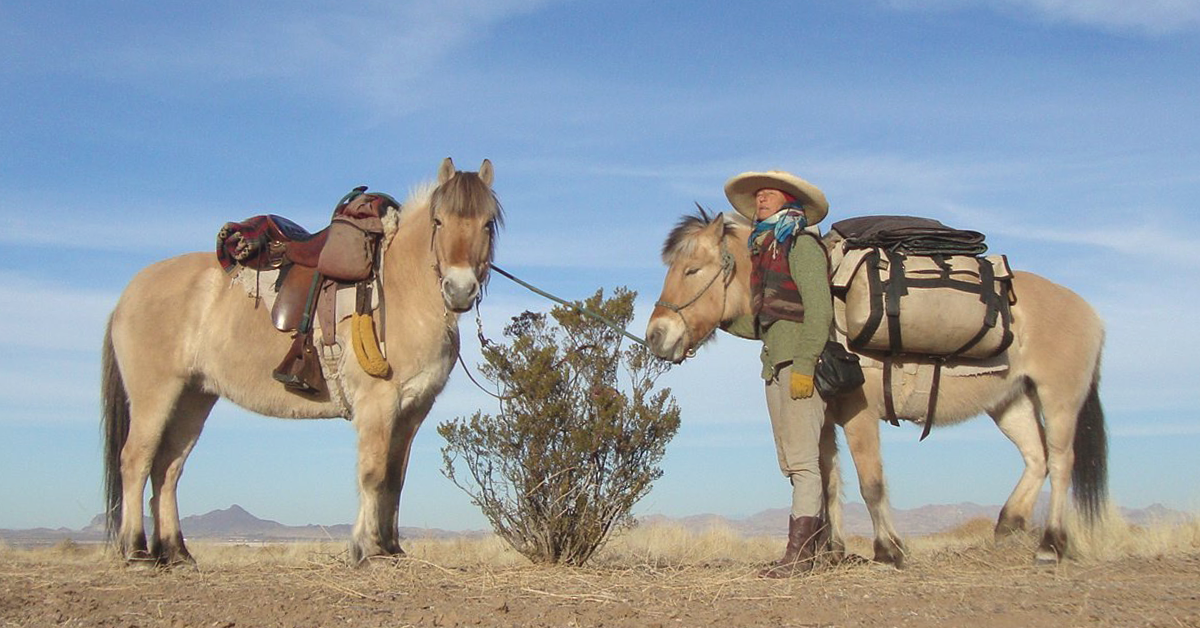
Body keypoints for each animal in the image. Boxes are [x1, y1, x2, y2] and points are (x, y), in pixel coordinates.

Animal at [101, 157, 502, 566]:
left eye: (488, 223)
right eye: (438, 221)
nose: (459, 290)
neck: (401, 288)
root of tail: (128, 295)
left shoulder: (412, 410)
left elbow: (395, 478)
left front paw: (391, 548)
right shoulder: (378, 403)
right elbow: (372, 474)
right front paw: (369, 549)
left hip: (193, 398)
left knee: (168, 468)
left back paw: (176, 552)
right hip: (155, 395)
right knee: (135, 460)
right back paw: (137, 551)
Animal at [645, 209, 1108, 566]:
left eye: (692, 270)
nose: (656, 336)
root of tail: (1090, 313)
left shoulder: (858, 413)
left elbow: (871, 482)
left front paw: (889, 550)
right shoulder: (823, 417)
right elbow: (828, 480)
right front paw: (831, 551)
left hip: (1058, 399)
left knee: (1061, 461)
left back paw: (1050, 545)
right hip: (1010, 402)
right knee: (1036, 458)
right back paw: (1009, 524)